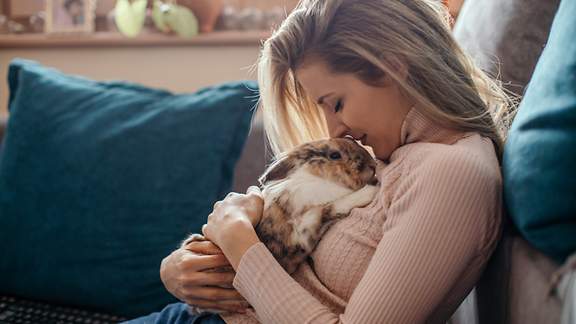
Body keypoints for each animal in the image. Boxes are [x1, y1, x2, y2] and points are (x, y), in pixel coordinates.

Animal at [182, 136, 378, 314]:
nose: (373, 165)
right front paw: (369, 192)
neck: (317, 180)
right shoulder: (303, 229)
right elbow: (331, 208)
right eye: (335, 155)